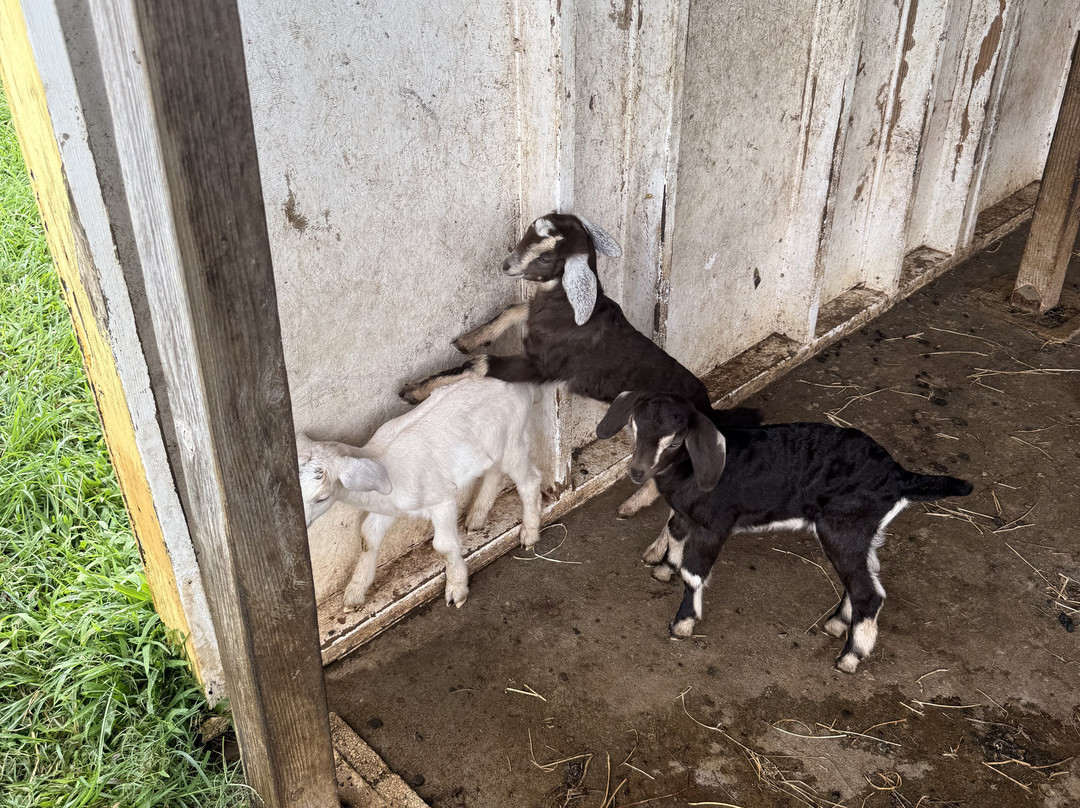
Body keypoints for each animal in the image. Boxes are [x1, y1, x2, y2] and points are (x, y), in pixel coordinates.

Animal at [297, 378, 542, 610]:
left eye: (321, 497)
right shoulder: (386, 507)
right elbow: (368, 537)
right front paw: (354, 593)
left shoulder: (442, 498)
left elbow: (444, 546)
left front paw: (456, 589)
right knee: (494, 471)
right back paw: (477, 517)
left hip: (514, 441)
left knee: (530, 480)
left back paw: (529, 534)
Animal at [398, 213, 759, 516]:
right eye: (528, 232)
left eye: (546, 257)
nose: (507, 265)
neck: (567, 310)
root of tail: (708, 406)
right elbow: (515, 308)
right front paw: (469, 338)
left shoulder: (543, 366)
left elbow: (480, 364)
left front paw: (414, 391)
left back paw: (632, 505)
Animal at [596, 391, 973, 673]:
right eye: (634, 426)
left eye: (675, 441)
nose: (637, 472)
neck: (688, 470)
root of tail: (898, 475)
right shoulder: (687, 513)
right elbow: (675, 529)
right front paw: (664, 568)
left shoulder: (716, 523)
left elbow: (693, 573)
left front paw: (683, 623)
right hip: (859, 530)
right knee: (863, 580)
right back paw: (837, 624)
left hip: (843, 526)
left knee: (869, 592)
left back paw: (850, 656)